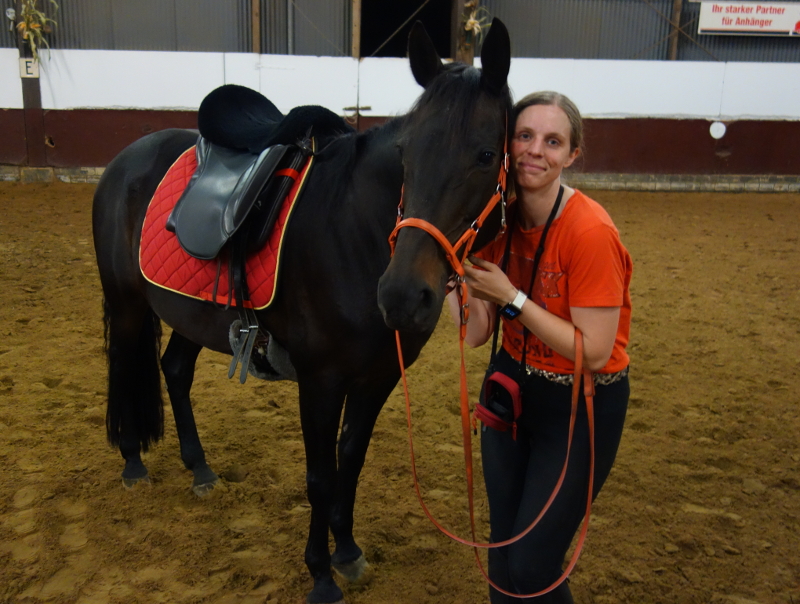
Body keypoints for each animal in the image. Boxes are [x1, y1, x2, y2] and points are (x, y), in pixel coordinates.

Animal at [92, 20, 511, 604]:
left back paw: (200, 470)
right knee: (125, 366)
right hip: (129, 305)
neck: (354, 230)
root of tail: (126, 157)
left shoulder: (379, 376)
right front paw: (320, 575)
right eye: (405, 153)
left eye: (486, 156)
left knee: (173, 370)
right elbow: (319, 476)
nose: (402, 296)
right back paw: (132, 461)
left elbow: (349, 461)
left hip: (192, 313)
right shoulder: (320, 380)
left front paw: (348, 552)